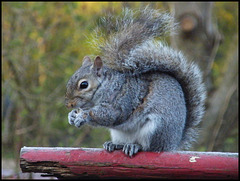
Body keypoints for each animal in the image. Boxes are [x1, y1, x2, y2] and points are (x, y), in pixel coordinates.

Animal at [64, 7, 205, 157]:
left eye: (84, 84)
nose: (68, 104)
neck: (105, 86)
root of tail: (173, 143)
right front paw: (72, 116)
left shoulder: (122, 100)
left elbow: (109, 115)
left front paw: (83, 116)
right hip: (120, 134)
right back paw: (114, 144)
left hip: (156, 128)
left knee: (149, 147)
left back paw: (135, 146)